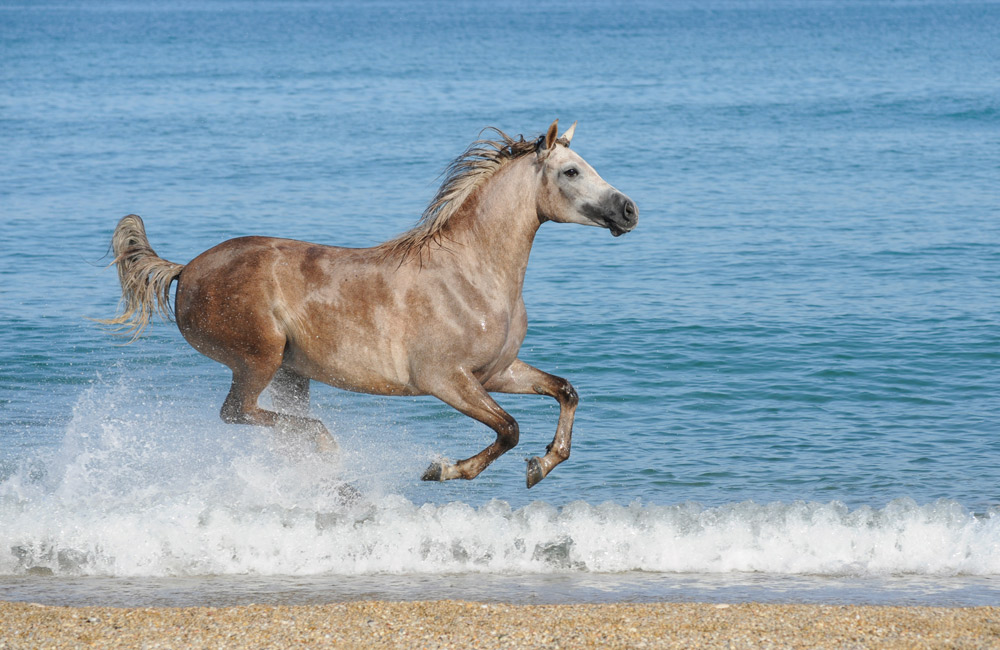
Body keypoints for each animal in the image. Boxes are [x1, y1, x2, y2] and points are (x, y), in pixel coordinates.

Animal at [103, 120, 640, 486]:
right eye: (571, 171)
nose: (629, 210)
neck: (471, 273)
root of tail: (186, 269)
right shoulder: (446, 380)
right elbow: (509, 429)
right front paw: (443, 469)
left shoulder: (496, 373)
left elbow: (565, 392)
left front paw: (542, 464)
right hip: (258, 359)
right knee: (237, 413)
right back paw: (325, 442)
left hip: (291, 372)